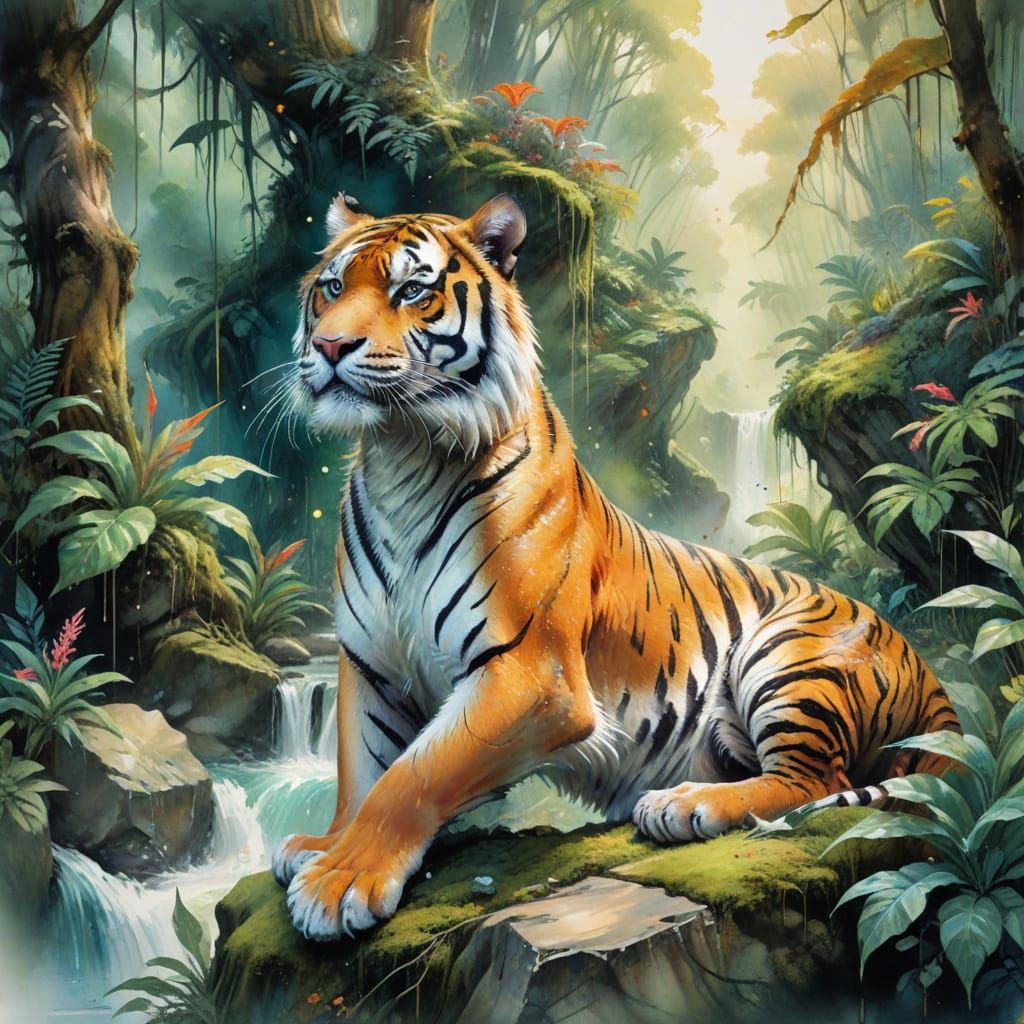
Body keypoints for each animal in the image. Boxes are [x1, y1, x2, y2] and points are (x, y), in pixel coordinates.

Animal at [271, 192, 958, 941]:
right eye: (332, 287)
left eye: (412, 291)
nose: (329, 347)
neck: (400, 454)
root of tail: (931, 675)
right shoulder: (370, 664)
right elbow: (361, 767)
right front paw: (323, 846)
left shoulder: (530, 675)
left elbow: (414, 775)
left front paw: (338, 882)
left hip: (788, 653)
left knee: (817, 780)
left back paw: (684, 805)